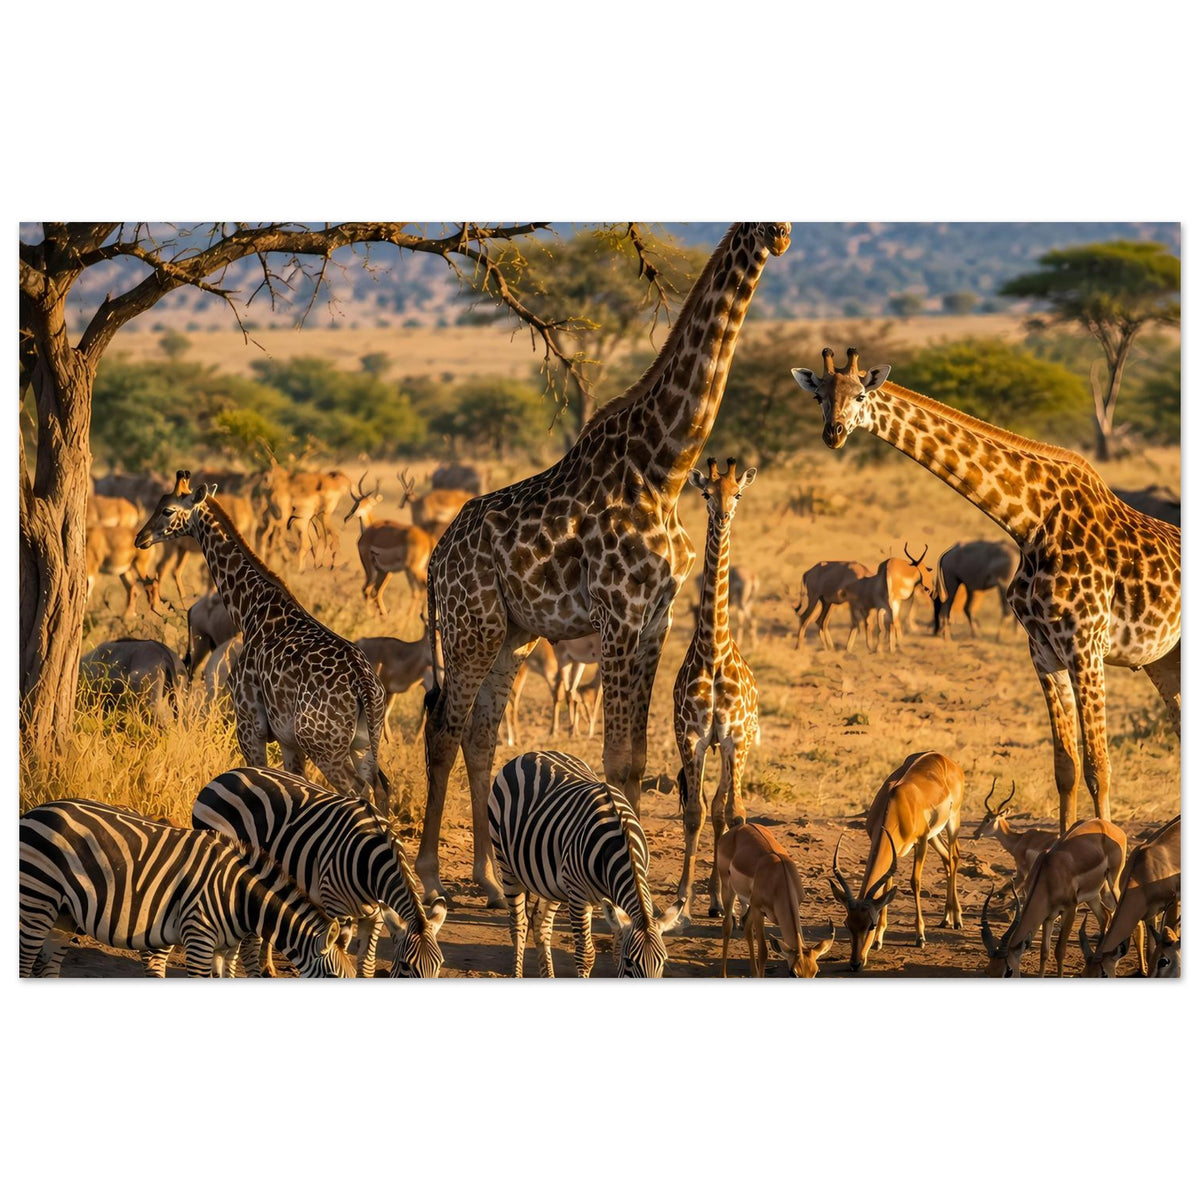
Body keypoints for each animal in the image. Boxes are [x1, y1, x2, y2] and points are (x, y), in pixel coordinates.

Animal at [19, 799, 353, 978]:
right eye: (332, 976)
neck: (239, 896)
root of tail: (35, 811)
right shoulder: (199, 938)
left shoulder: (225, 949)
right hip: (37, 900)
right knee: (25, 963)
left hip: (63, 915)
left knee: (47, 967)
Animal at [192, 766, 445, 978]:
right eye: (405, 965)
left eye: (439, 965)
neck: (373, 862)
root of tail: (225, 774)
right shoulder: (336, 908)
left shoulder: (375, 916)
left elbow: (366, 967)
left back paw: (267, 968)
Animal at [488, 750, 685, 978]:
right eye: (630, 962)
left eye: (663, 962)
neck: (621, 844)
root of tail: (531, 754)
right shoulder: (579, 896)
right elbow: (586, 954)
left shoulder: (613, 901)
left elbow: (616, 950)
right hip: (507, 864)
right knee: (518, 925)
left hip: (551, 882)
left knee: (540, 924)